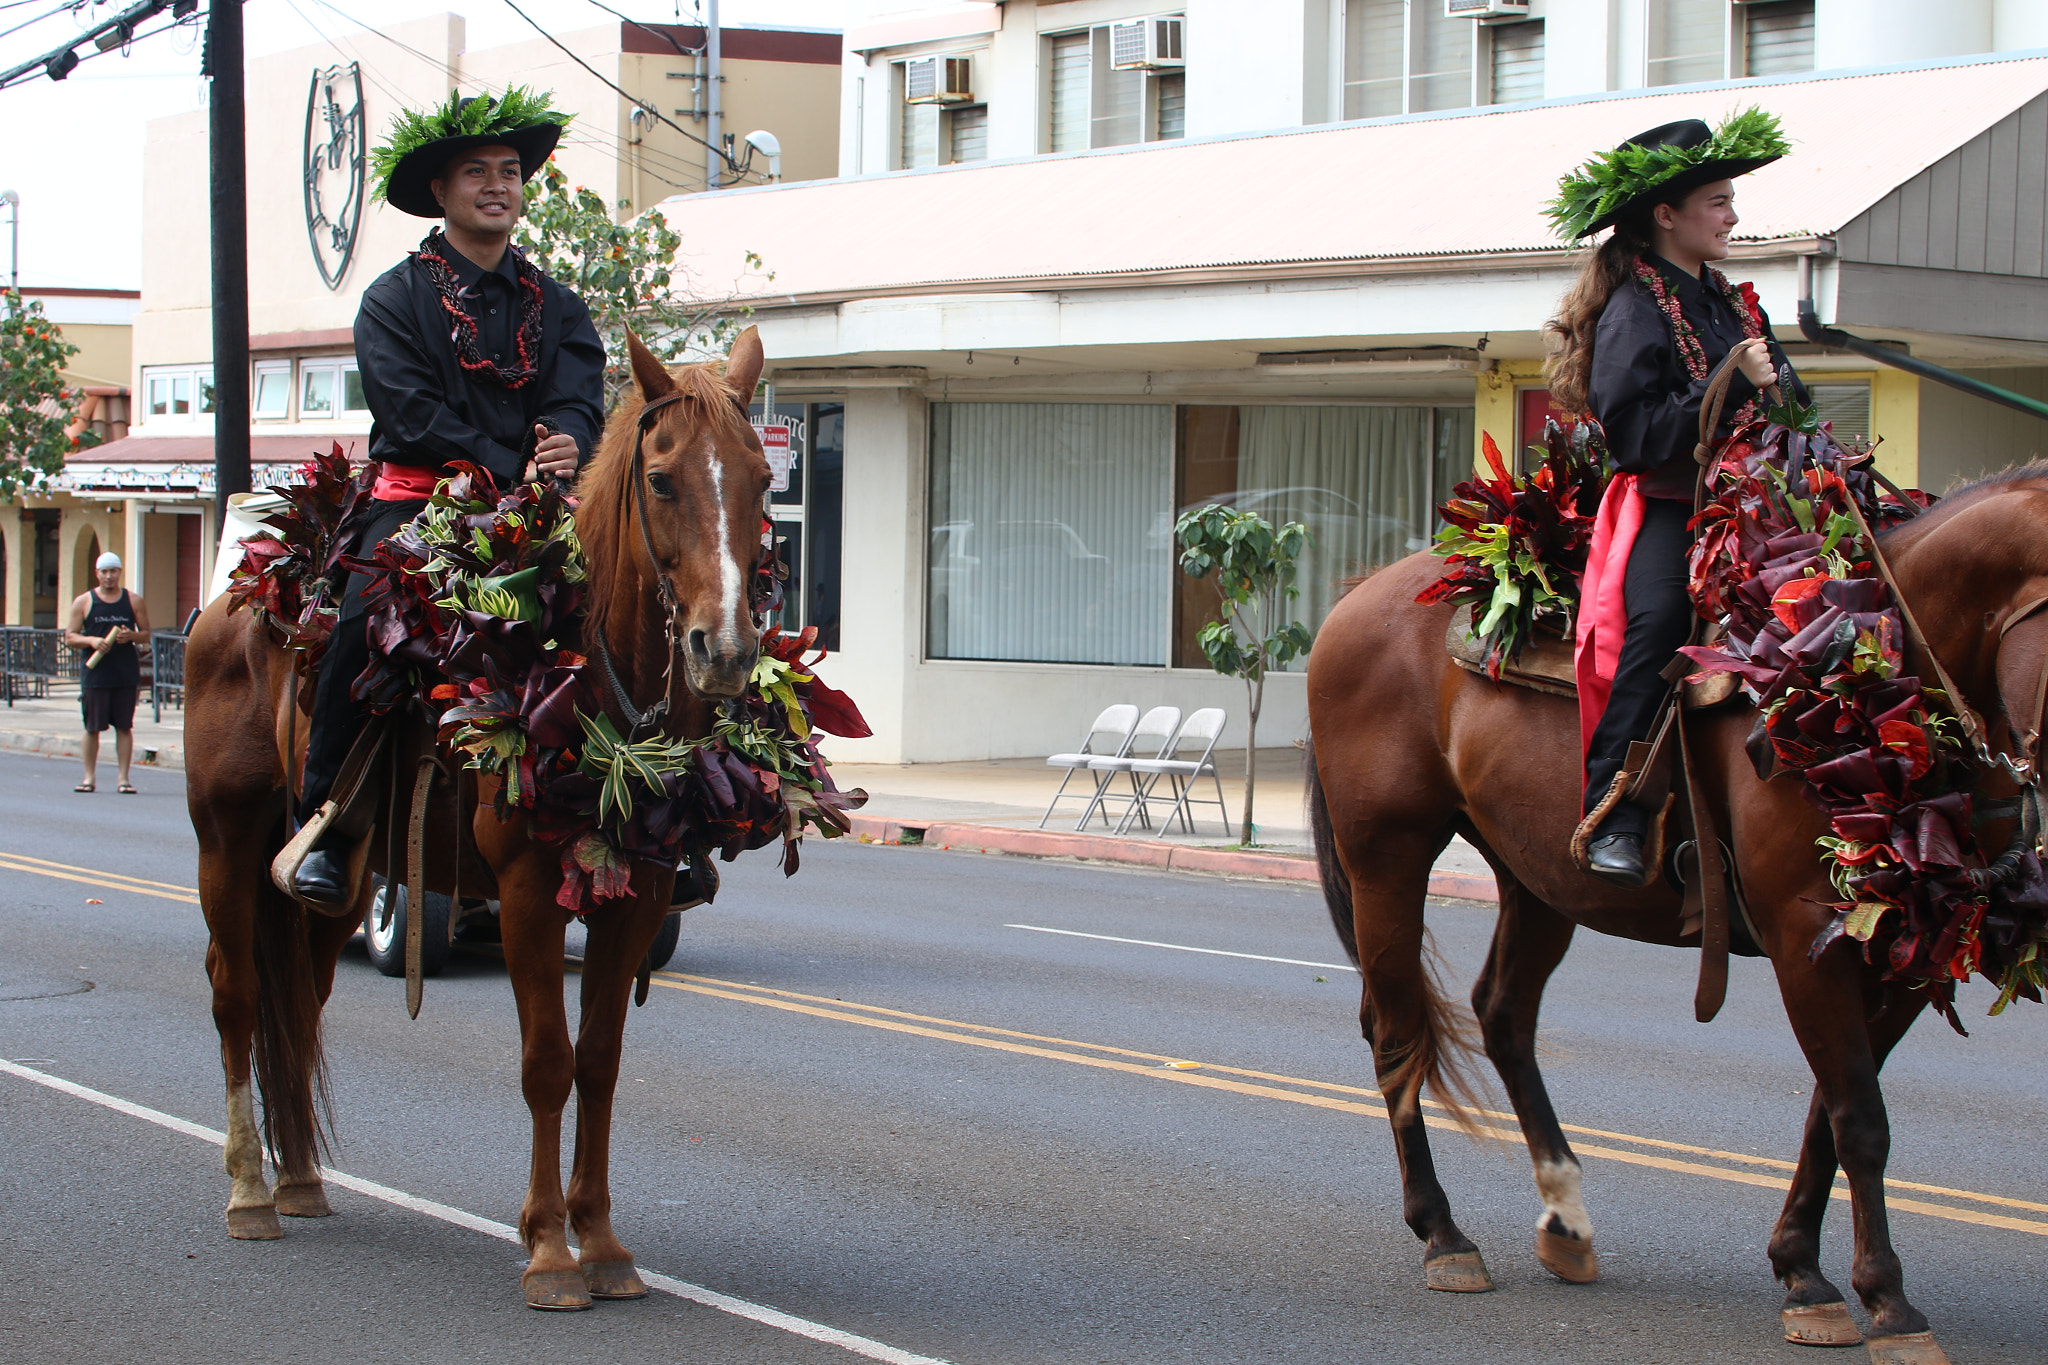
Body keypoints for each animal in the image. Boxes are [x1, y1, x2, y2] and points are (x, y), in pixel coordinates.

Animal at [184, 325, 770, 1309]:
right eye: (661, 479)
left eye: (763, 480)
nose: (722, 650)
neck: (577, 671)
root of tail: (241, 592)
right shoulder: (529, 895)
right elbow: (547, 1063)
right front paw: (548, 1251)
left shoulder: (639, 897)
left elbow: (599, 1062)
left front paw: (601, 1241)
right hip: (226, 842)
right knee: (236, 996)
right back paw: (248, 1192)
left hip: (344, 878)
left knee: (303, 994)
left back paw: (300, 1179)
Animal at [1302, 464, 2048, 1358]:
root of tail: (1356, 597)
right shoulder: (1806, 939)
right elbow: (1860, 1118)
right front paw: (1888, 1301)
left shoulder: (1907, 945)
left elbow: (1830, 1116)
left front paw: (1802, 1270)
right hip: (1387, 853)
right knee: (1398, 1031)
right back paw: (1445, 1236)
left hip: (1539, 877)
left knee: (1502, 1014)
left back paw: (1565, 1216)